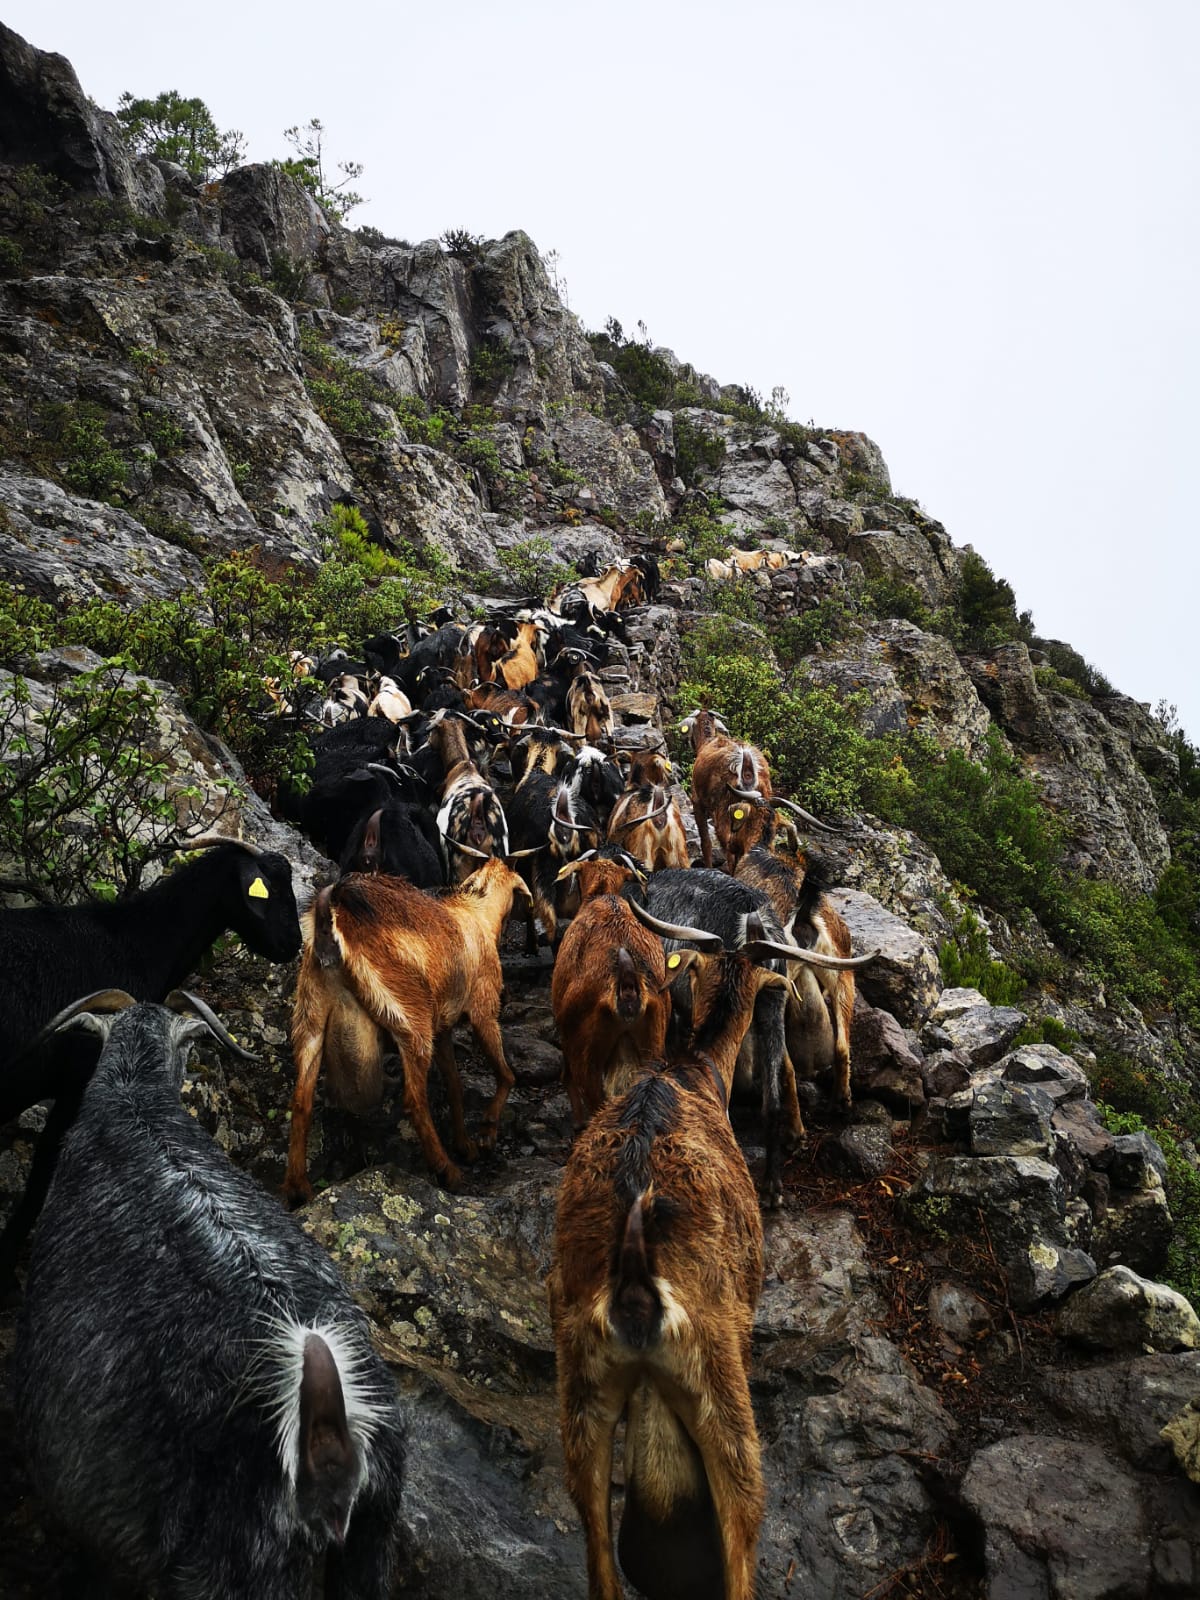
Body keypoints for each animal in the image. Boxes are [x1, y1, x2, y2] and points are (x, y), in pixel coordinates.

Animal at [286, 858, 531, 1198]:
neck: (478, 915)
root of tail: (331, 918)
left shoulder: (443, 1029)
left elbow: (455, 1086)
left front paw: (465, 1144)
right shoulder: (483, 1011)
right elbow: (506, 1074)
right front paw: (486, 1133)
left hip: (311, 1017)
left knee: (301, 1101)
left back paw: (297, 1188)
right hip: (409, 1018)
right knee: (414, 1102)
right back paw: (447, 1171)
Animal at [547, 945, 782, 1600]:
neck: (692, 1069)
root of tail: (633, 1289)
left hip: (582, 1389)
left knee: (599, 1556)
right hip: (717, 1381)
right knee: (742, 1522)